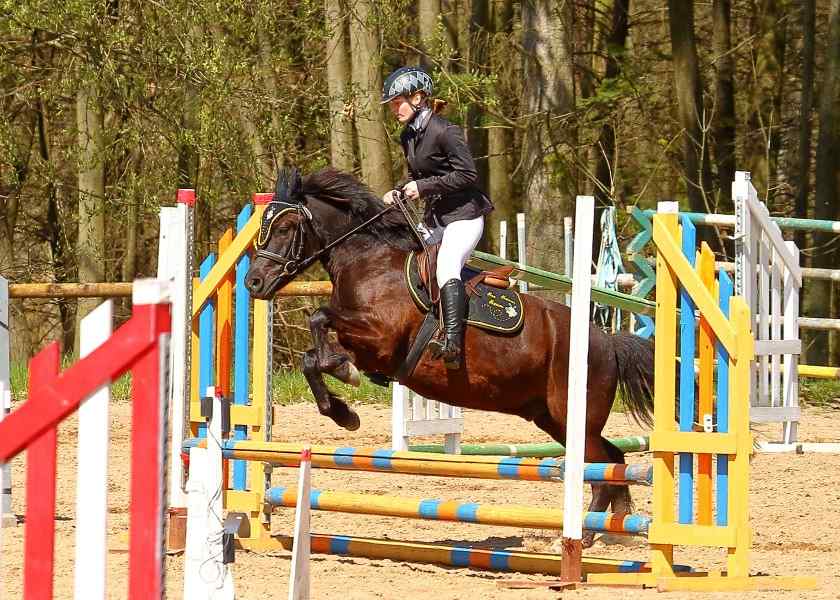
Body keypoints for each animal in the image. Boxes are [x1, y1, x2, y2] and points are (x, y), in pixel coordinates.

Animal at [244, 168, 656, 544]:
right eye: (263, 227)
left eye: (287, 227)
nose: (253, 283)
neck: (368, 262)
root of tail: (607, 342)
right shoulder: (363, 348)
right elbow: (311, 357)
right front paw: (343, 412)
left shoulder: (379, 340)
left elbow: (319, 320)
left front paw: (344, 381)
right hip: (553, 419)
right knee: (613, 459)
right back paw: (613, 530)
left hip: (574, 417)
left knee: (602, 464)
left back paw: (583, 536)